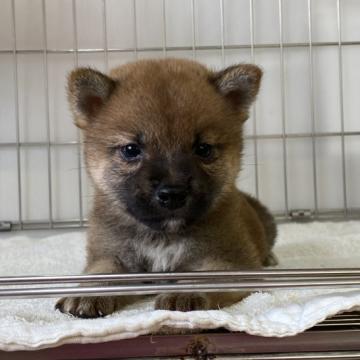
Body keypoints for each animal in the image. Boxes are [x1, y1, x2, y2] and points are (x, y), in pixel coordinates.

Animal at [55, 57, 276, 318]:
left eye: (203, 149)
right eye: (131, 150)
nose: (173, 194)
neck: (162, 236)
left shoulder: (231, 262)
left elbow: (204, 278)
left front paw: (184, 293)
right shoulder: (111, 255)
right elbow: (101, 275)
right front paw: (87, 294)